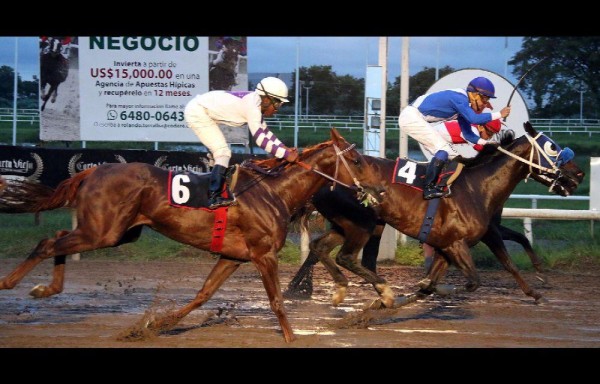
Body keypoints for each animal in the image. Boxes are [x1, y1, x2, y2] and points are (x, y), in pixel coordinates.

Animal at [0, 128, 376, 342]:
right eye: (358, 160)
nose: (376, 189)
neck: (275, 191)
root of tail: (93, 170)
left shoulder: (233, 256)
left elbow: (202, 294)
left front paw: (158, 324)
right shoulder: (263, 255)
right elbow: (276, 302)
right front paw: (290, 337)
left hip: (118, 232)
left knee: (59, 236)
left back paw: (46, 288)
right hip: (103, 231)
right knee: (48, 242)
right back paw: (12, 283)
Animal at [288, 121, 584, 308]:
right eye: (553, 147)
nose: (579, 174)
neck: (478, 187)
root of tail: (322, 178)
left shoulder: (449, 246)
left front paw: (536, 290)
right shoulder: (461, 242)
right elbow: (478, 278)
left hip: (347, 225)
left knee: (319, 247)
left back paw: (322, 288)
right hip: (363, 223)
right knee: (346, 257)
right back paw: (377, 290)